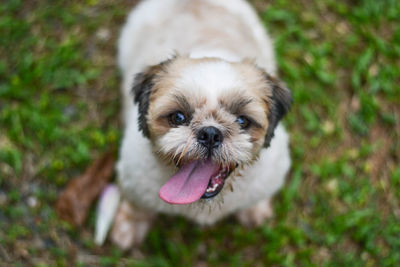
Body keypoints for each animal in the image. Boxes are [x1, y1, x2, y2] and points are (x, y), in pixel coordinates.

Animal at [106, 0, 294, 249]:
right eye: (178, 118)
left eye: (242, 121)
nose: (210, 133)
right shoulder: (134, 182)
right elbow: (136, 207)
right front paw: (129, 227)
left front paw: (254, 211)